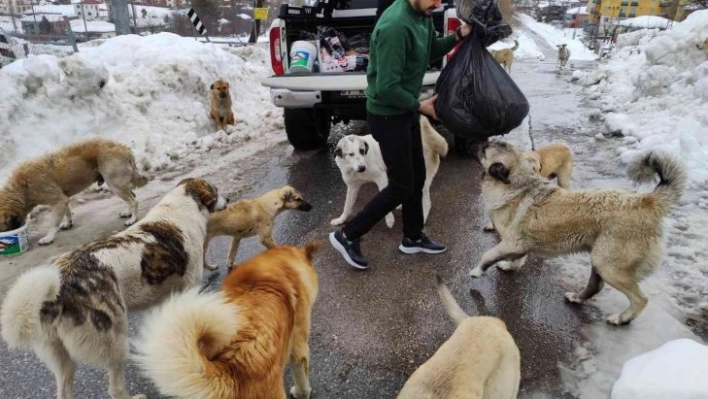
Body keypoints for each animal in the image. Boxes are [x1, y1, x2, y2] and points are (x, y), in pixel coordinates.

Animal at [0, 139, 148, 245]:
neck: (22, 187)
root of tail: (124, 148)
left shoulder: (58, 200)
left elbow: (53, 223)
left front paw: (48, 238)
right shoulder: (63, 199)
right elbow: (68, 211)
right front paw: (68, 223)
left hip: (115, 184)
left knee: (134, 201)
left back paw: (132, 219)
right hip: (119, 184)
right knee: (131, 196)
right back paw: (128, 213)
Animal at [0, 178, 227, 399]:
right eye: (216, 191)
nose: (228, 199)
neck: (181, 205)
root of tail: (61, 284)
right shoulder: (189, 286)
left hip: (62, 359)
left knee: (64, 391)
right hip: (115, 343)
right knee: (115, 389)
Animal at [470, 142, 684, 326]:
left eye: (485, 149)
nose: (478, 143)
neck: (517, 184)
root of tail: (646, 201)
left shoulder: (510, 243)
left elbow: (487, 255)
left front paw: (477, 271)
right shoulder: (520, 244)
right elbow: (518, 259)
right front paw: (508, 265)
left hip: (609, 267)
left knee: (640, 299)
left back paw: (621, 318)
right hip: (600, 261)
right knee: (595, 287)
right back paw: (577, 297)